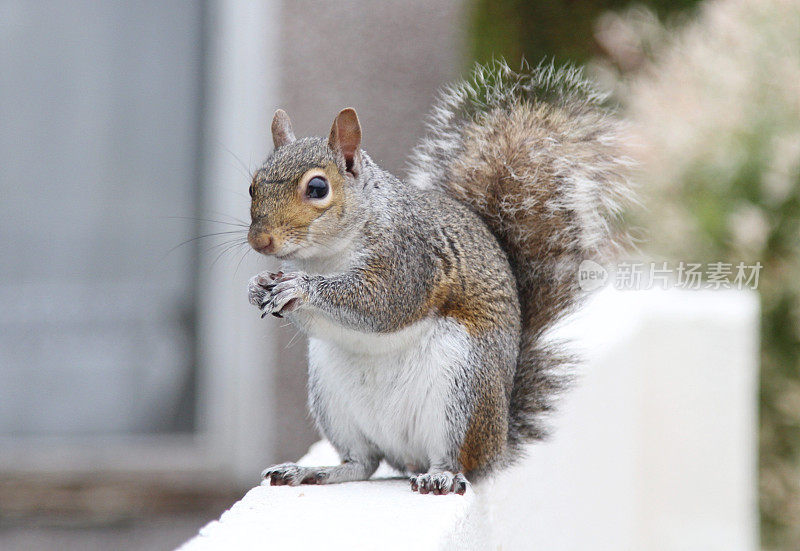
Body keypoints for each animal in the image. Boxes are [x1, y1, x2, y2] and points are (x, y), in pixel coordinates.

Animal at [245, 60, 632, 496]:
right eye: (252, 186)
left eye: (317, 187)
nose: (260, 240)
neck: (327, 256)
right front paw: (258, 286)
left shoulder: (410, 261)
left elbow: (381, 303)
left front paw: (300, 288)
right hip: (334, 399)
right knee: (363, 462)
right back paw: (312, 471)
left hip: (462, 390)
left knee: (456, 459)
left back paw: (441, 476)